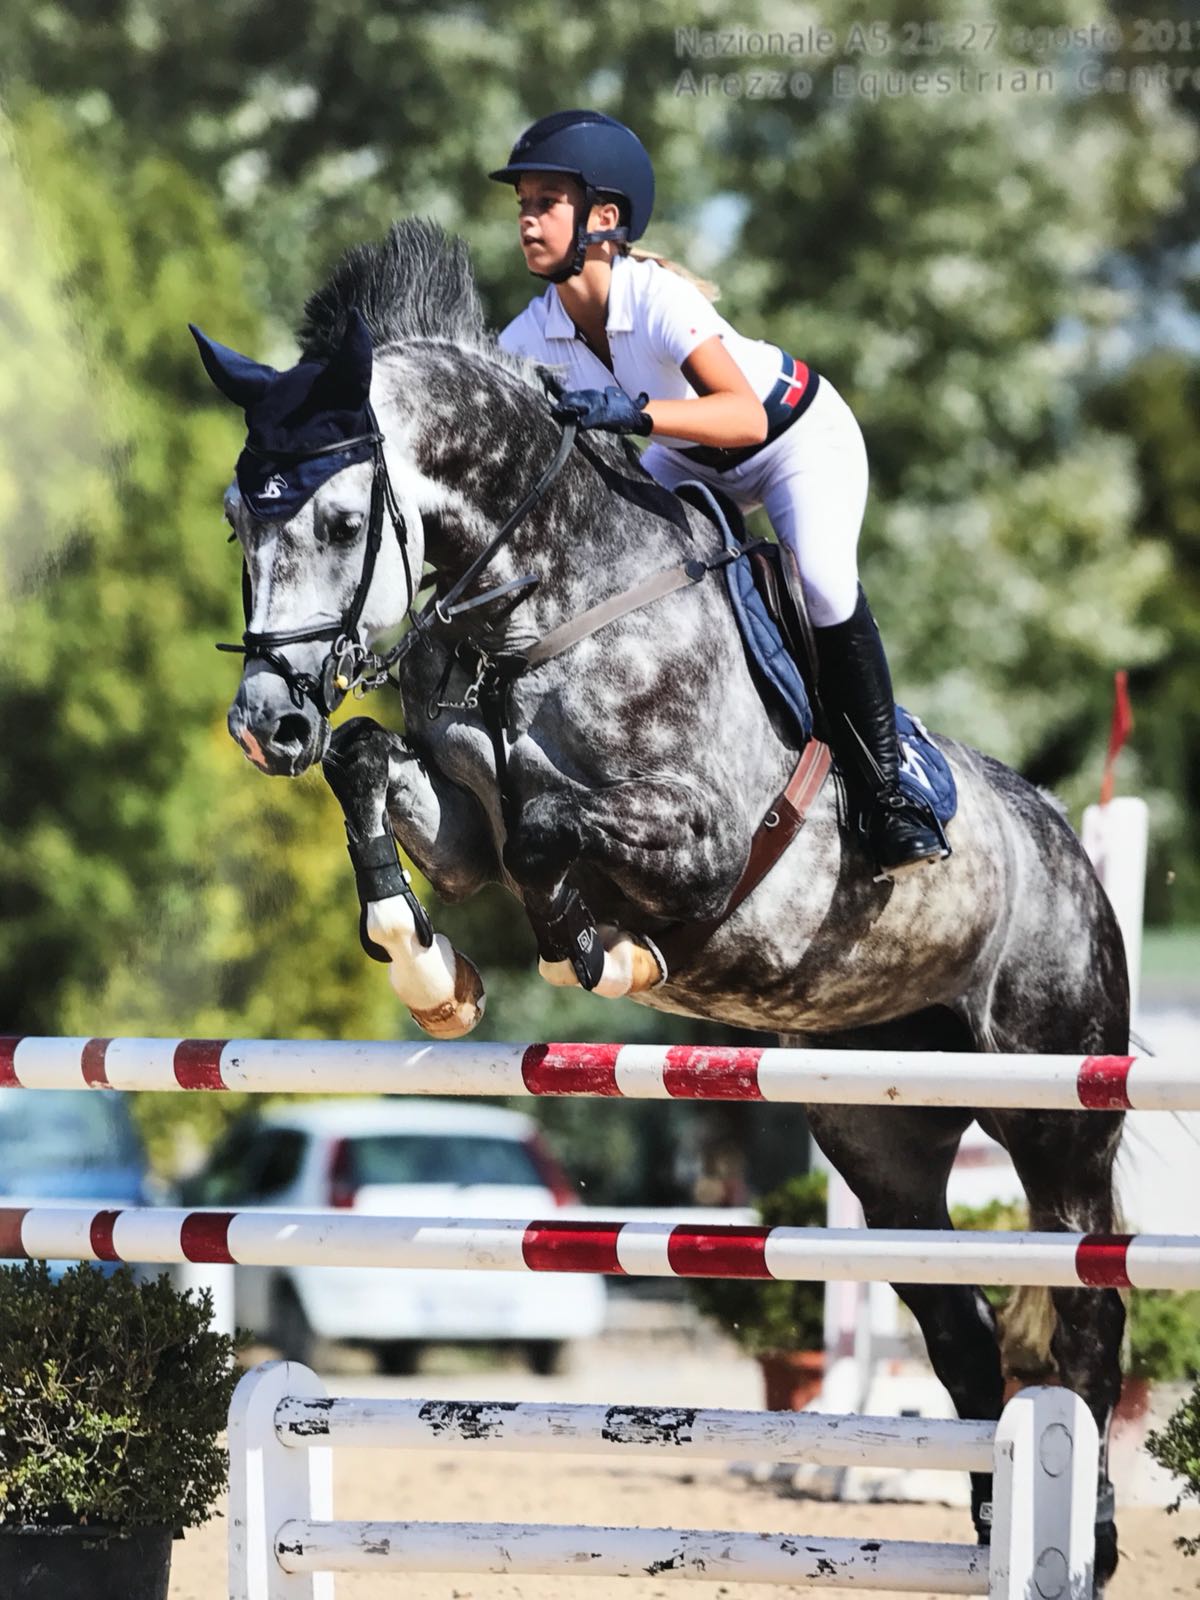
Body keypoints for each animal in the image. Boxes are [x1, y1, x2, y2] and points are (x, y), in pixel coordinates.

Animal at [193, 218, 1129, 1583]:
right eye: (234, 519)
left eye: (338, 514)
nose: (265, 726)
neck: (540, 605)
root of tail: (1069, 840)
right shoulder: (456, 820)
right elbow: (379, 769)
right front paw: (429, 969)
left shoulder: (701, 839)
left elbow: (550, 830)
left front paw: (601, 952)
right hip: (885, 1137)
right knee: (959, 1328)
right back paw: (989, 1519)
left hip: (1059, 1116)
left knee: (1087, 1312)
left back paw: (1087, 1538)